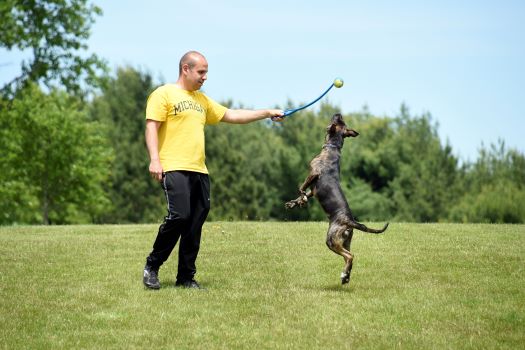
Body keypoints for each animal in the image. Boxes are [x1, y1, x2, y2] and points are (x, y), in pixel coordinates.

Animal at [284, 114, 386, 284]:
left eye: (338, 121)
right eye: (342, 122)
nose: (338, 113)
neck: (333, 147)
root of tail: (349, 221)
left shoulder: (313, 173)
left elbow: (301, 188)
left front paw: (301, 198)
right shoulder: (314, 189)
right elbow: (302, 194)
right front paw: (295, 203)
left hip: (331, 240)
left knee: (350, 256)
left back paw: (345, 275)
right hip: (345, 241)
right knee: (348, 257)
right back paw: (346, 275)